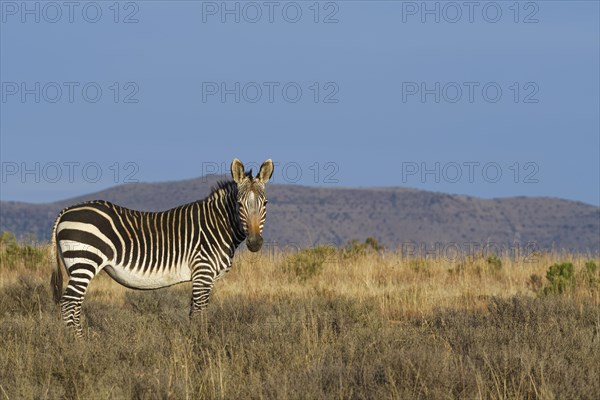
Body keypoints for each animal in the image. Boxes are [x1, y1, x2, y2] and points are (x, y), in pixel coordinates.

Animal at [50, 158, 274, 336]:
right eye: (239, 204)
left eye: (265, 203)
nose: (255, 243)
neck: (217, 224)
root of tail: (66, 210)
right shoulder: (203, 272)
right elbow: (200, 313)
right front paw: (202, 345)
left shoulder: (201, 277)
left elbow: (193, 312)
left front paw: (192, 342)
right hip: (84, 261)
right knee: (69, 303)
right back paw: (80, 345)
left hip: (77, 265)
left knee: (73, 305)